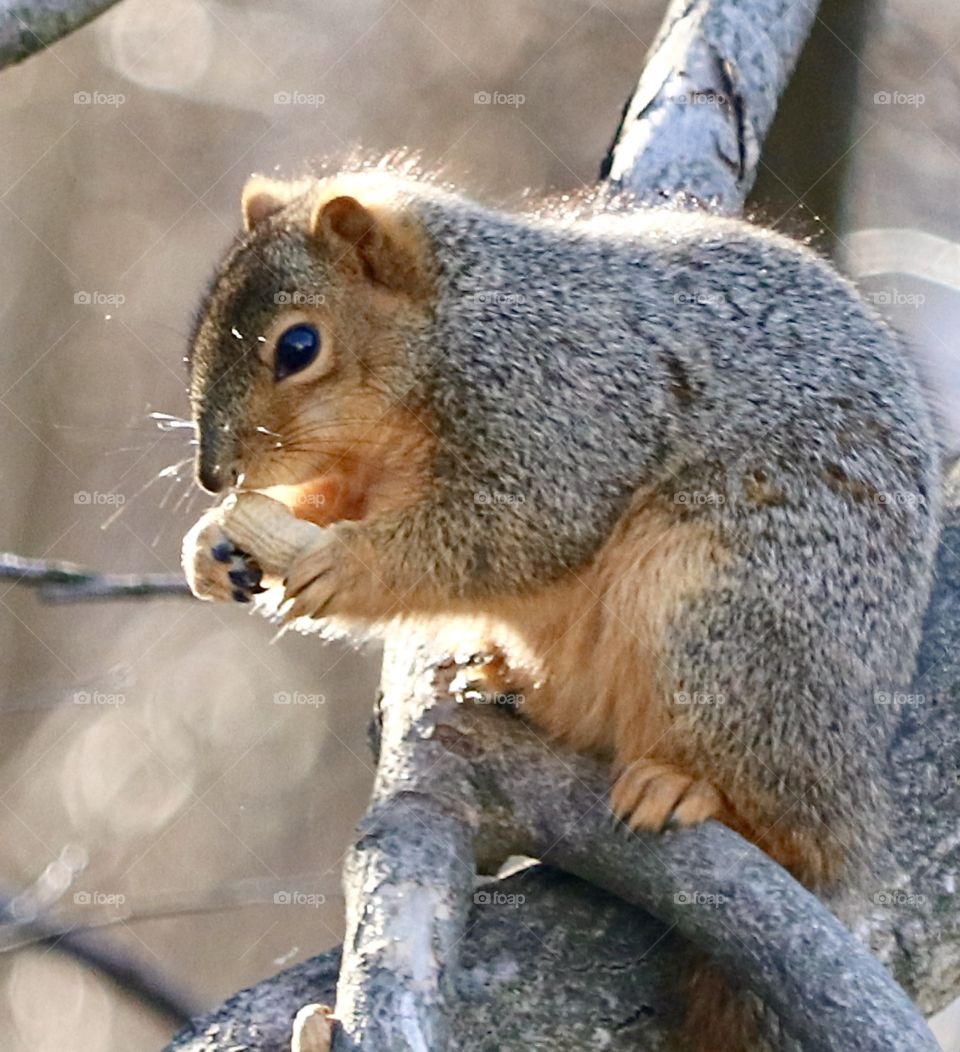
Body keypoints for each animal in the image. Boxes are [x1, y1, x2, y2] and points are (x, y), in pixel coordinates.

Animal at [177, 164, 937, 1052]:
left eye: (298, 347)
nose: (212, 474)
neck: (452, 327)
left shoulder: (562, 407)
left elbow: (516, 527)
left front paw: (344, 563)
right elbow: (329, 504)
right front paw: (213, 547)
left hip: (724, 612)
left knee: (783, 816)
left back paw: (686, 787)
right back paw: (501, 674)